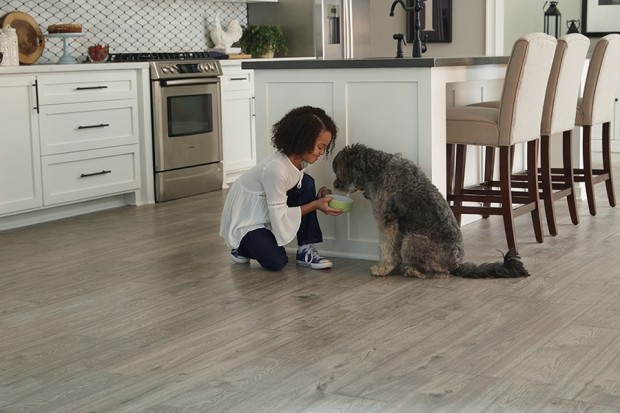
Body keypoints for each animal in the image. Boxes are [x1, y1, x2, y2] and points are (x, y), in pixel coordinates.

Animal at [332, 143, 532, 278]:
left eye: (338, 172)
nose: (335, 185)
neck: (376, 169)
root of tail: (456, 265)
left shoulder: (386, 220)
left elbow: (385, 247)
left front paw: (382, 268)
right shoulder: (396, 225)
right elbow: (392, 248)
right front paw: (391, 264)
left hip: (412, 240)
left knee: (434, 270)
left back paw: (414, 270)